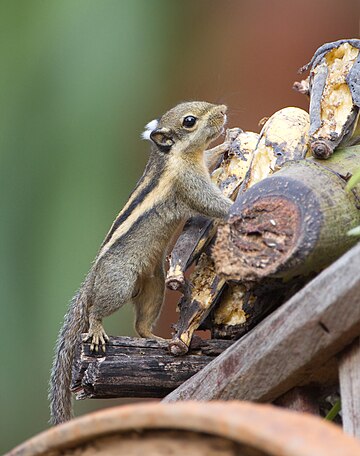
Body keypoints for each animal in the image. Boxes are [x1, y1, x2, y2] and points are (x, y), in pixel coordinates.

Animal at [49, 101, 232, 426]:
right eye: (189, 121)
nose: (223, 110)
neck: (174, 157)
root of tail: (92, 275)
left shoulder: (199, 166)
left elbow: (211, 158)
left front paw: (227, 143)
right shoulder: (190, 183)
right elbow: (212, 204)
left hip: (154, 287)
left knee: (141, 326)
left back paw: (157, 339)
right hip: (119, 284)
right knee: (96, 309)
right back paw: (97, 327)